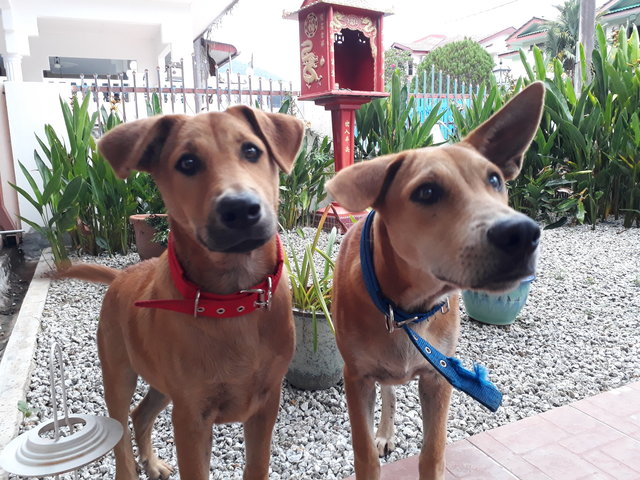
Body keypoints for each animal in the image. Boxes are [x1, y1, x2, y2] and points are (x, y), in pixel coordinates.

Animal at [57, 106, 302, 480]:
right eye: (187, 163)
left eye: (251, 150)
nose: (240, 209)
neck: (232, 301)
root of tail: (122, 275)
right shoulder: (191, 416)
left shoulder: (265, 402)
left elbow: (257, 466)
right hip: (118, 373)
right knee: (121, 436)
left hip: (161, 379)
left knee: (140, 413)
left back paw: (152, 463)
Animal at [324, 82, 544, 476]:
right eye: (426, 192)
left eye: (494, 180)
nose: (521, 233)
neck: (406, 308)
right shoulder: (356, 376)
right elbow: (364, 454)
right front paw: (373, 447)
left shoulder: (439, 375)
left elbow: (433, 451)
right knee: (389, 392)